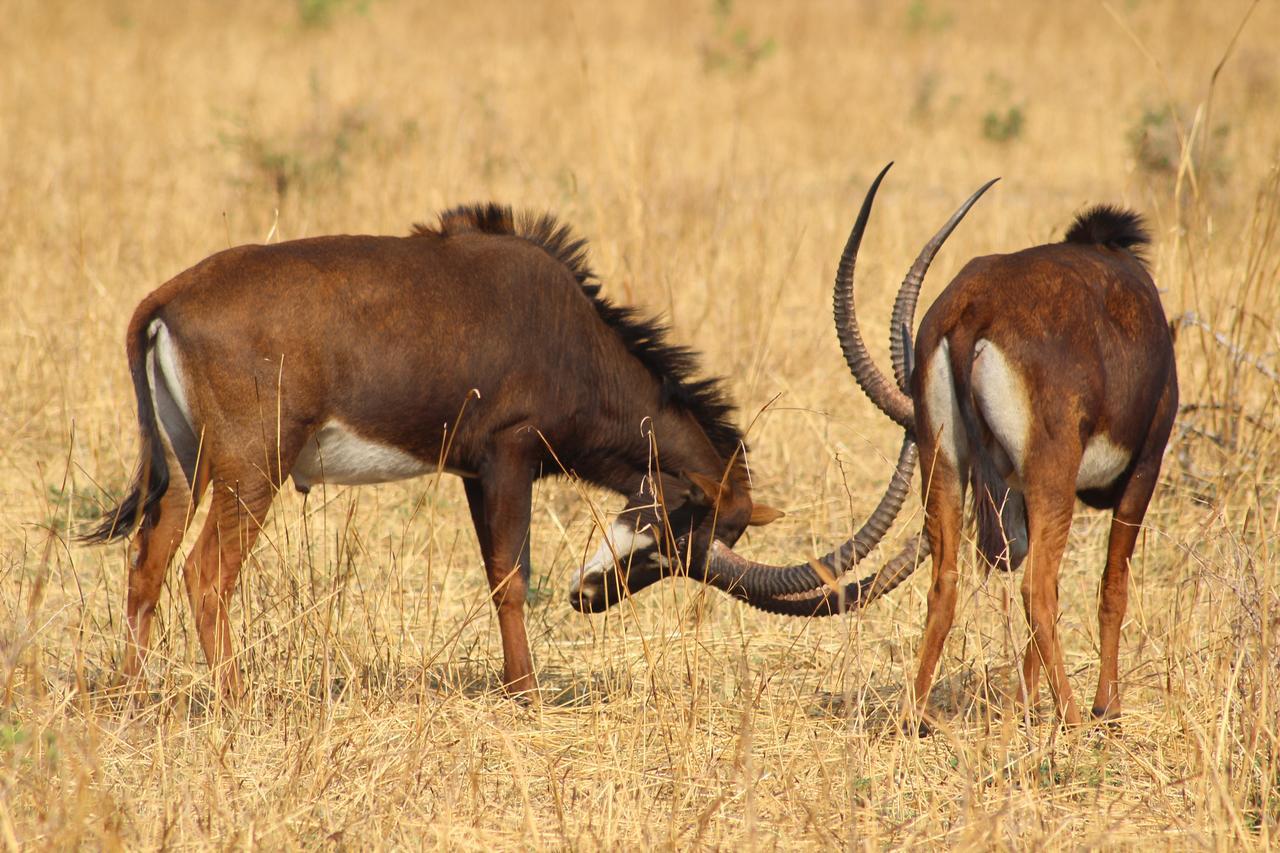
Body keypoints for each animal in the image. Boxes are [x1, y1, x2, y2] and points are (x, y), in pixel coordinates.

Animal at [82, 206, 778, 696]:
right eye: (674, 535)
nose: (589, 597)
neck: (574, 336)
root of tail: (169, 299)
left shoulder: (473, 471)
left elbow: (496, 576)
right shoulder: (510, 454)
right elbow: (512, 579)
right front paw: (526, 695)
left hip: (186, 464)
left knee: (148, 561)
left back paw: (129, 698)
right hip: (252, 468)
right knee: (204, 571)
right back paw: (236, 699)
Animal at [701, 162, 1177, 727]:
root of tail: (975, 309)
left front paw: (1021, 704)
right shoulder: (1145, 465)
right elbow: (1112, 587)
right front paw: (1108, 707)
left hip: (944, 468)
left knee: (945, 582)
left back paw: (915, 716)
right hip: (1050, 476)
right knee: (1036, 589)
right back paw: (1074, 719)